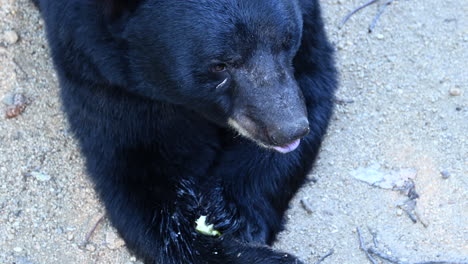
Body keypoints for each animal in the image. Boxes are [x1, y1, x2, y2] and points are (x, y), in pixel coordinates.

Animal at [35, 0, 336, 262]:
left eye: (286, 42)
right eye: (219, 65)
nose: (289, 130)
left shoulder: (307, 32)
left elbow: (313, 81)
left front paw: (231, 211)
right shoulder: (99, 71)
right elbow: (138, 172)